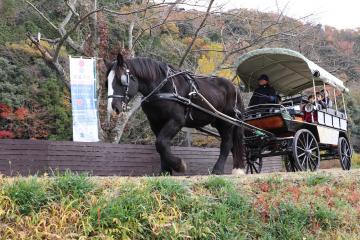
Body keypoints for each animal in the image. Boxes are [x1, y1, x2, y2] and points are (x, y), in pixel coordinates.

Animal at [104, 53, 245, 174]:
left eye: (122, 80)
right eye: (107, 83)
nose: (112, 108)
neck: (163, 88)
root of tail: (235, 88)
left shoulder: (177, 120)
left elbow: (161, 143)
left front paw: (178, 165)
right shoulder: (155, 123)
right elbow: (162, 145)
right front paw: (165, 171)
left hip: (226, 121)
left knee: (227, 144)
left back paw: (218, 169)